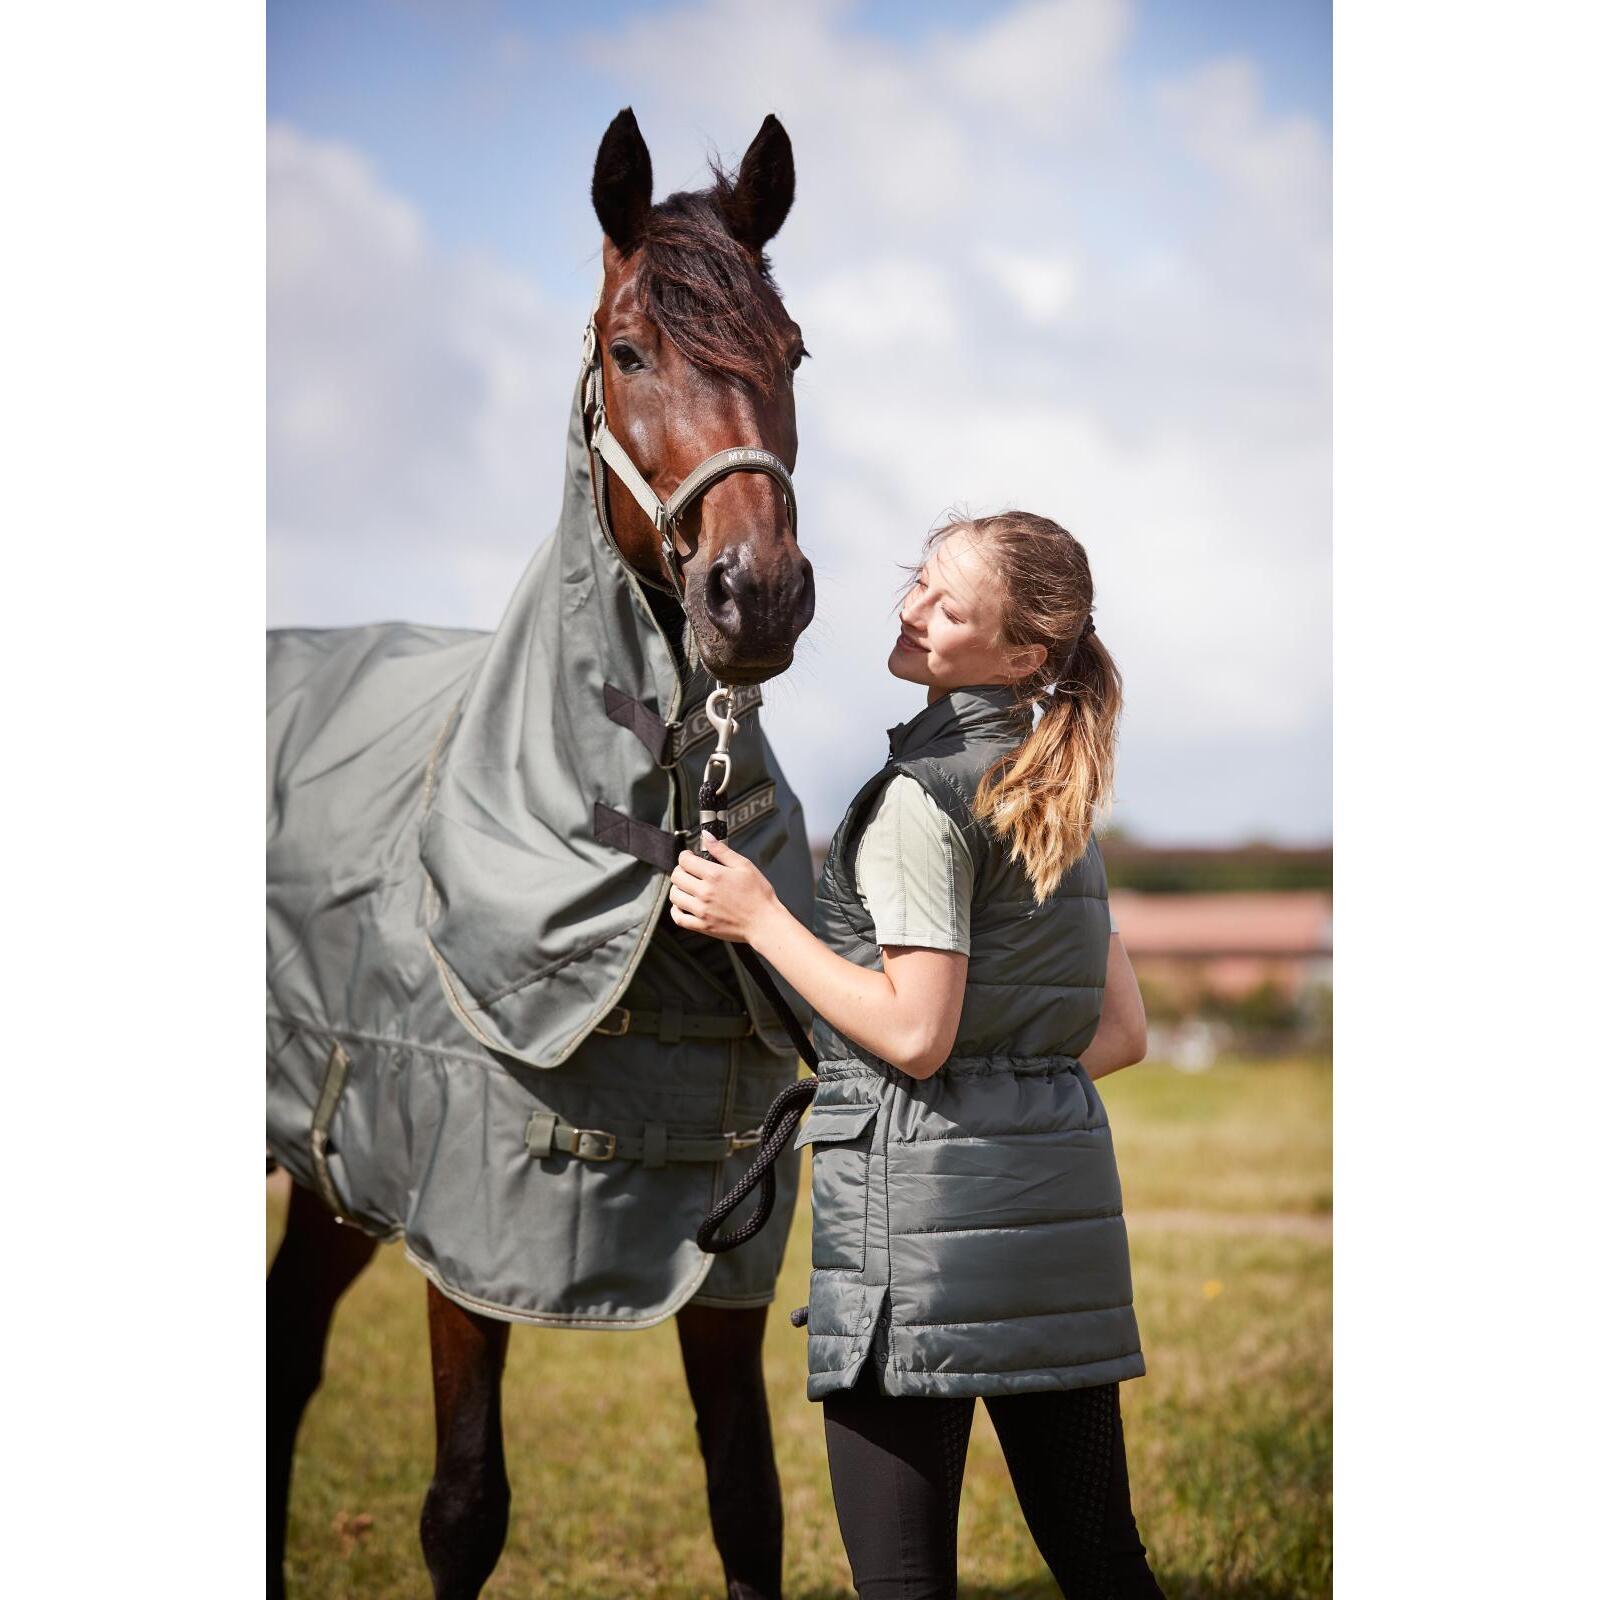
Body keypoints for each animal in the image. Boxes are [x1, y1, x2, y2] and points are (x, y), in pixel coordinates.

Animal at [267, 108, 816, 1600]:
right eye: (628, 350)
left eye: (794, 350)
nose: (756, 595)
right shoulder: (463, 1233)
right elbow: (465, 1506)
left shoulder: (727, 1240)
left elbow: (748, 1500)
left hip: (331, 1176)